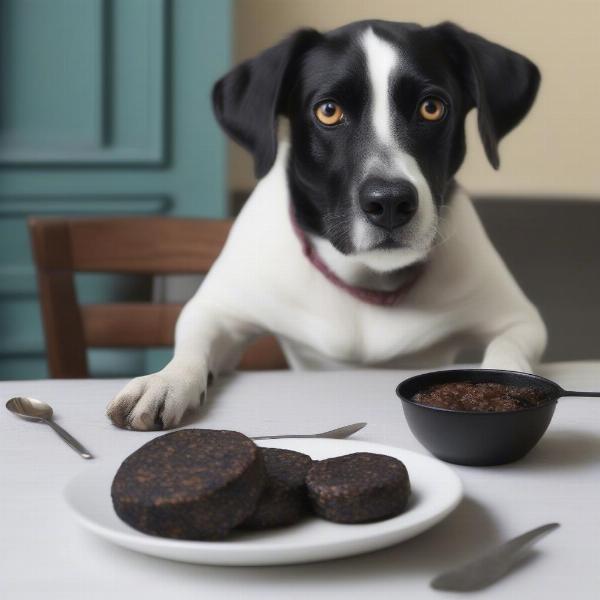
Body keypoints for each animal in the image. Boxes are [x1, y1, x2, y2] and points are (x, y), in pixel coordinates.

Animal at [105, 19, 548, 432]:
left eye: (431, 107)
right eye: (328, 111)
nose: (390, 202)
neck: (367, 281)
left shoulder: (519, 319)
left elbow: (508, 351)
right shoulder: (218, 312)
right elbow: (192, 344)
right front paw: (163, 381)